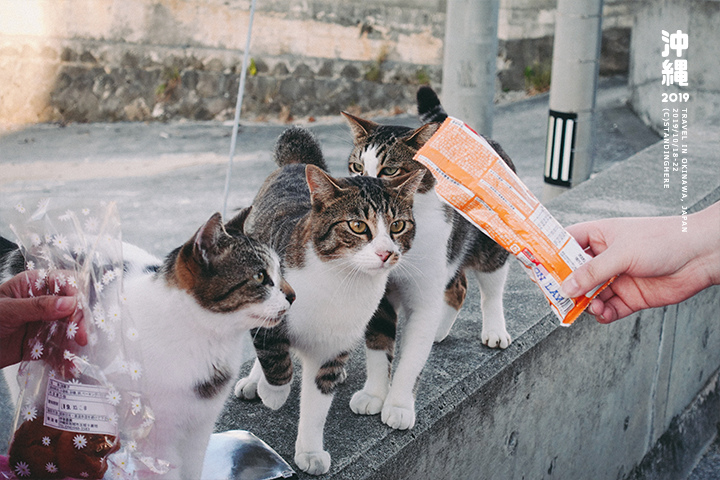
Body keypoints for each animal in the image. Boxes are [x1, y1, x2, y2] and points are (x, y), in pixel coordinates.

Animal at [2, 211, 296, 480]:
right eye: (260, 277)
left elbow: (193, 469)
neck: (206, 338)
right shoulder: (160, 438)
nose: (293, 295)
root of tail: (21, 250)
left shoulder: (200, 428)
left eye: (280, 271)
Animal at [231, 125, 422, 474]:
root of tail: (296, 164)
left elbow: (317, 404)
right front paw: (273, 392)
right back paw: (255, 382)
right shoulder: (268, 305)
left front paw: (309, 451)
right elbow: (275, 357)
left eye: (398, 225)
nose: (386, 253)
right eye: (358, 226)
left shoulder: (332, 350)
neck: (341, 282)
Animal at [340, 85, 516, 432]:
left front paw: (398, 405)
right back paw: (438, 330)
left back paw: (494, 331)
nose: (362, 186)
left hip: (489, 248)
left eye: (390, 170)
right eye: (356, 167)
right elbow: (378, 349)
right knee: (457, 288)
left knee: (490, 290)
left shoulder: (423, 296)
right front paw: (374, 394)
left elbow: (410, 362)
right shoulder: (379, 299)